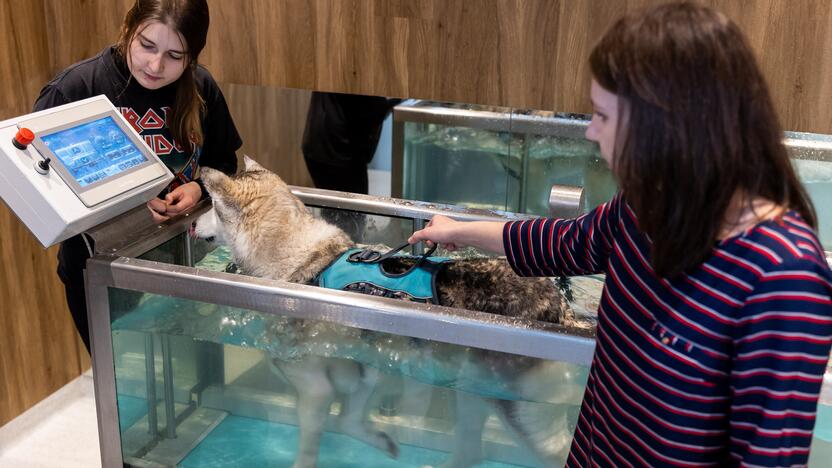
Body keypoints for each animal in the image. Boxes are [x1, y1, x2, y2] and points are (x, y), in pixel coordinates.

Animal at [195, 158, 584, 468]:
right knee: (471, 451)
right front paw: (384, 443)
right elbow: (348, 421)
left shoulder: (316, 389)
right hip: (470, 394)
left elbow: (313, 444)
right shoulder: (369, 373)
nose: (193, 225)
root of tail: (561, 309)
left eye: (210, 206)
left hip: (525, 413)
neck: (298, 255)